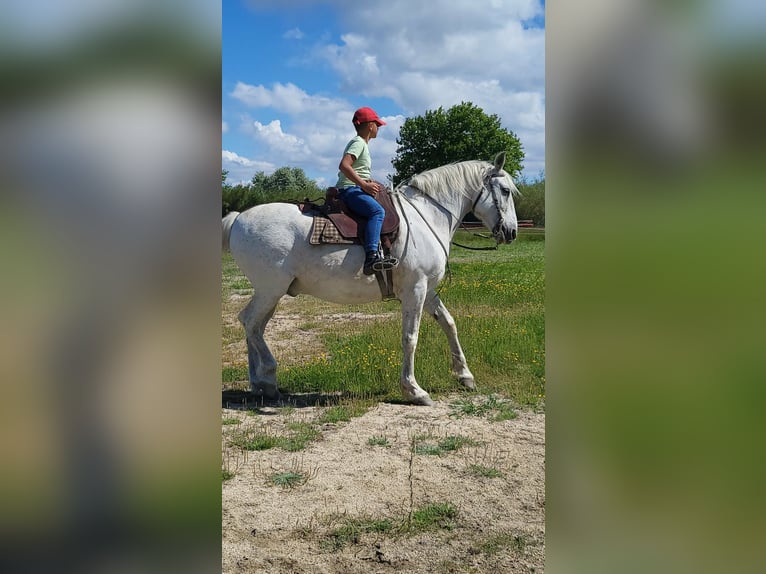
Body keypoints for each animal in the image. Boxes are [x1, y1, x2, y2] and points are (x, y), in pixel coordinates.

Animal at [222, 151, 519, 406]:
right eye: (505, 191)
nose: (511, 232)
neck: (427, 217)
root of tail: (238, 218)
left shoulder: (426, 289)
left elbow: (449, 323)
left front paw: (464, 375)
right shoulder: (415, 290)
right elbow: (410, 337)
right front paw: (414, 390)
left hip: (270, 293)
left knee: (254, 326)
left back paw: (259, 383)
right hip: (270, 290)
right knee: (250, 323)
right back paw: (268, 379)